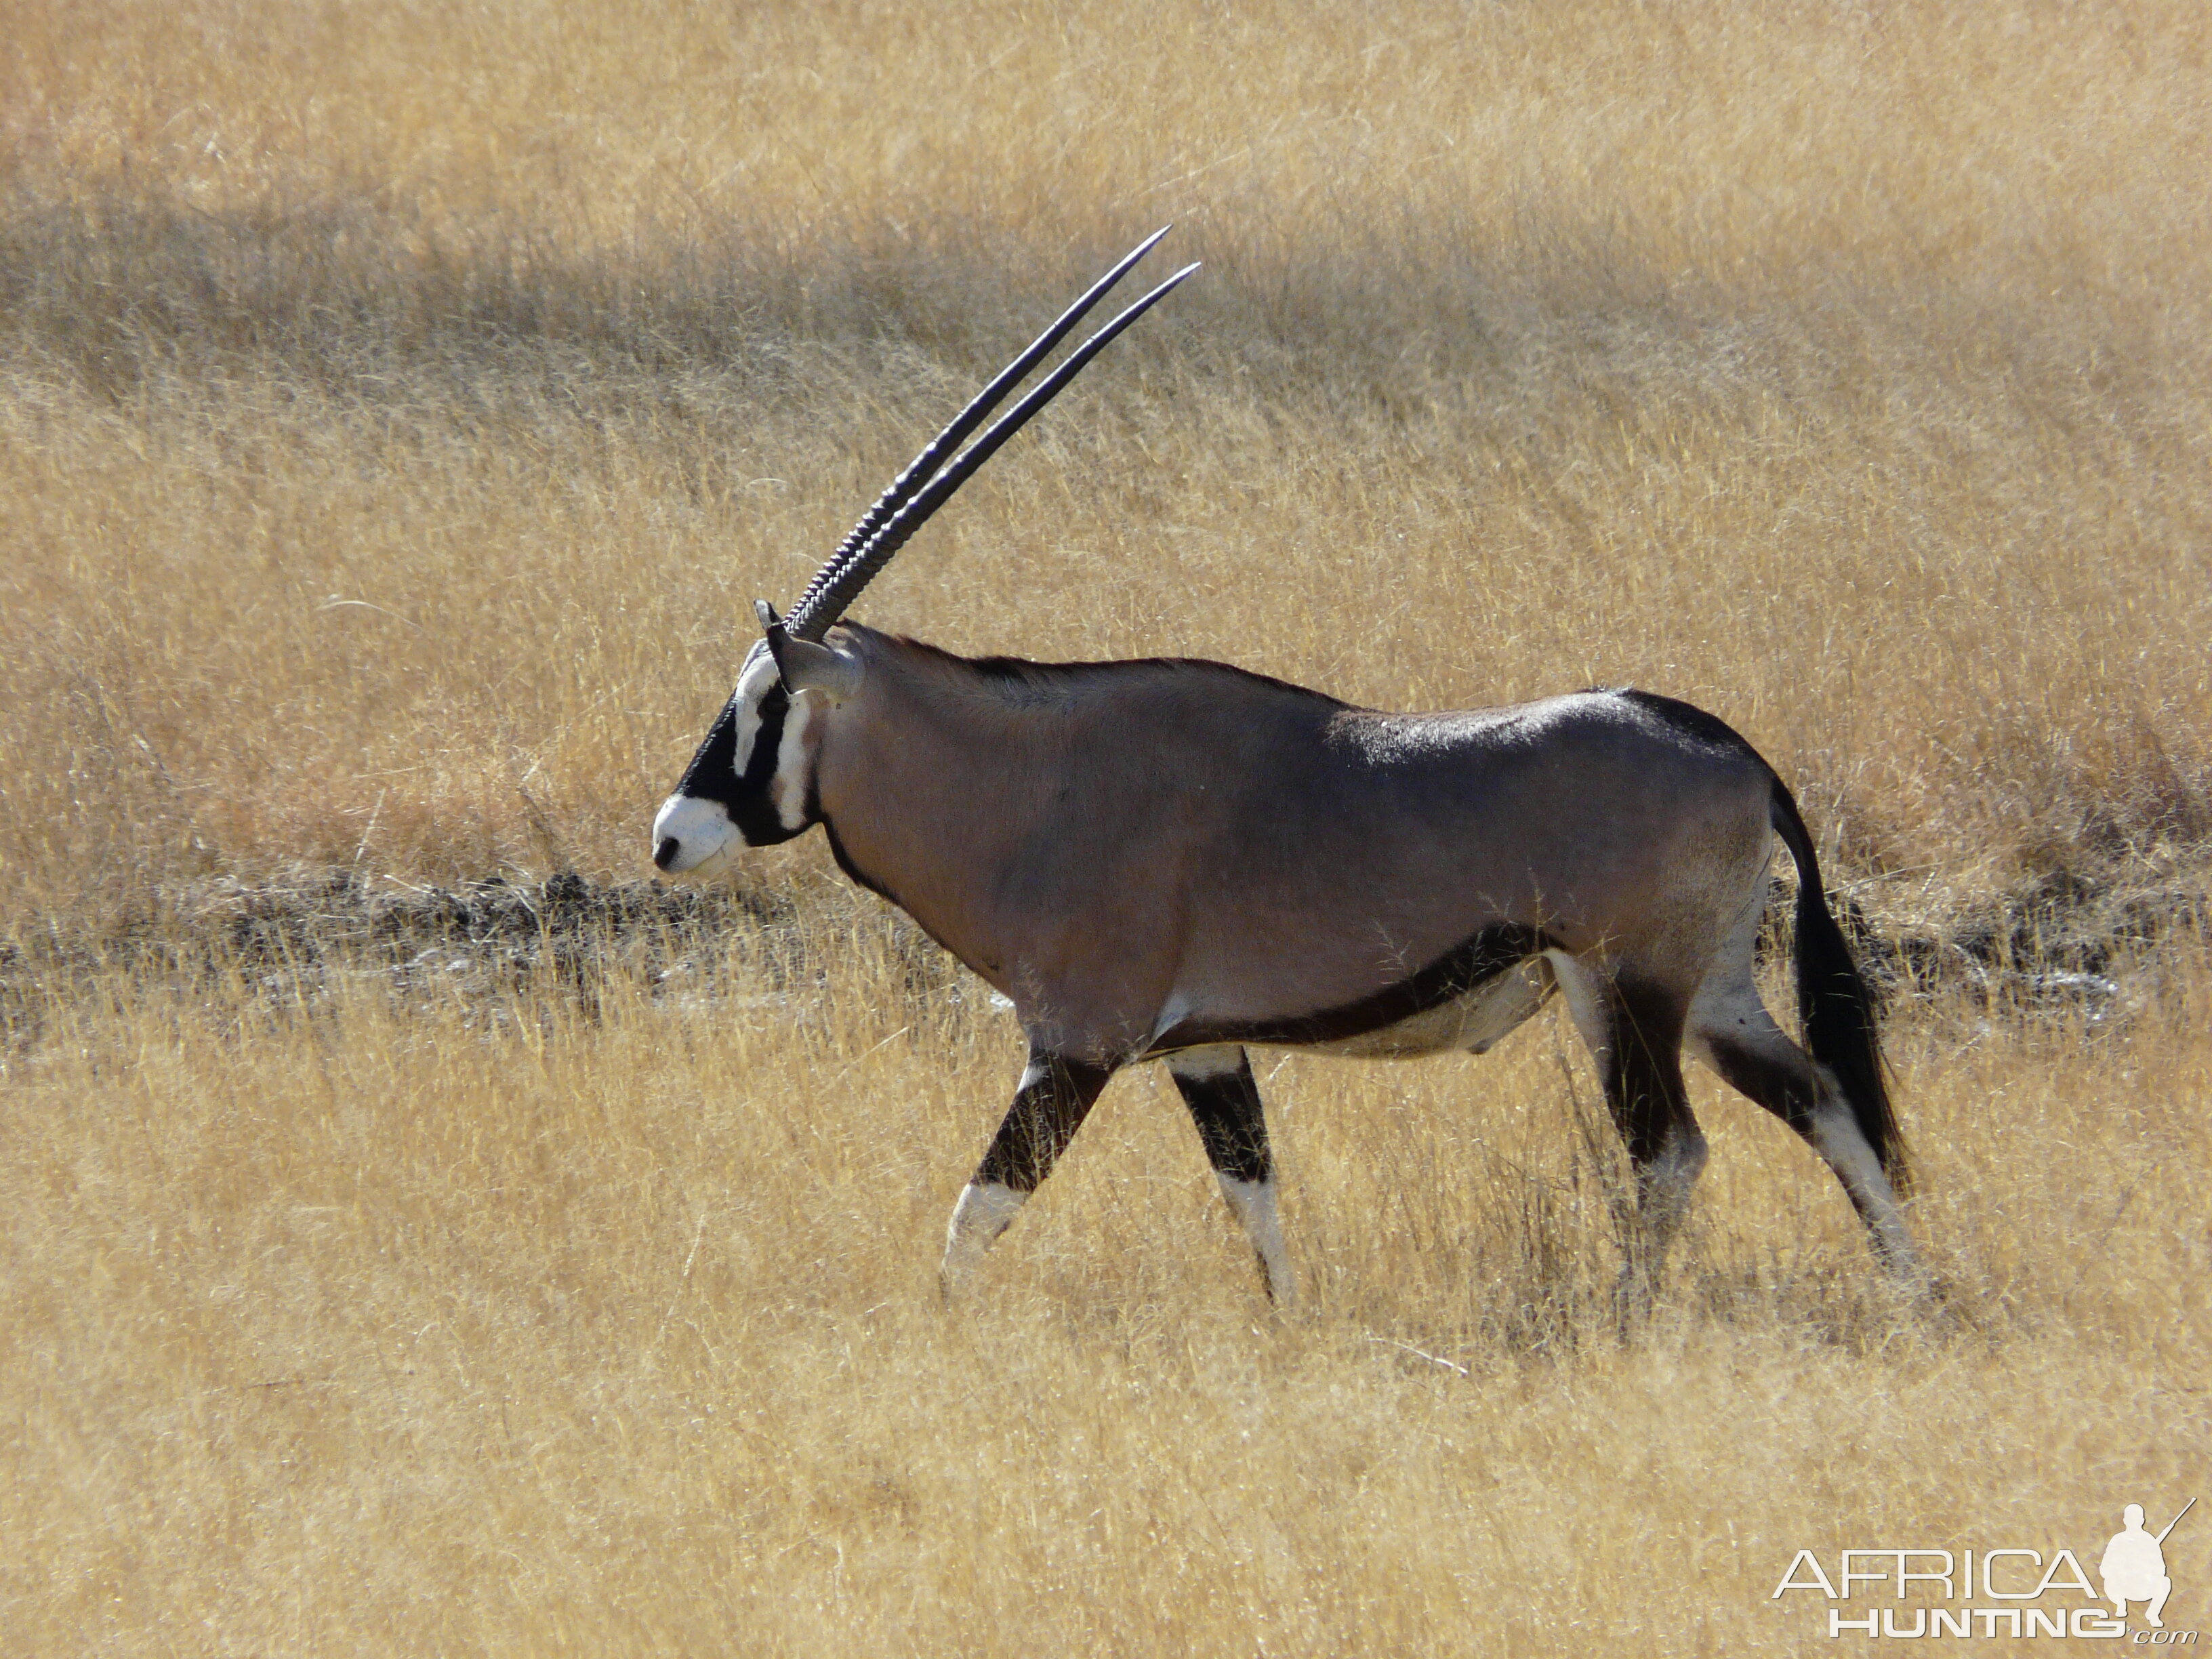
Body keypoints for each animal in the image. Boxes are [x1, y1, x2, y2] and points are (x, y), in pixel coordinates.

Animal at [650, 228, 1920, 1309]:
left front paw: (939, 1327)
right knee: (1824, 1104)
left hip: (1626, 984)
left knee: (1671, 1151)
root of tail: (1740, 757)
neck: (1031, 785)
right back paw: (1915, 1295)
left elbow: (980, 1208)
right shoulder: (1205, 1049)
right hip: (1709, 986)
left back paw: (1623, 1319)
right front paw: (1292, 1331)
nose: (669, 834)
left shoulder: (1076, 1043)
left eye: (766, 701)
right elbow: (1253, 1200)